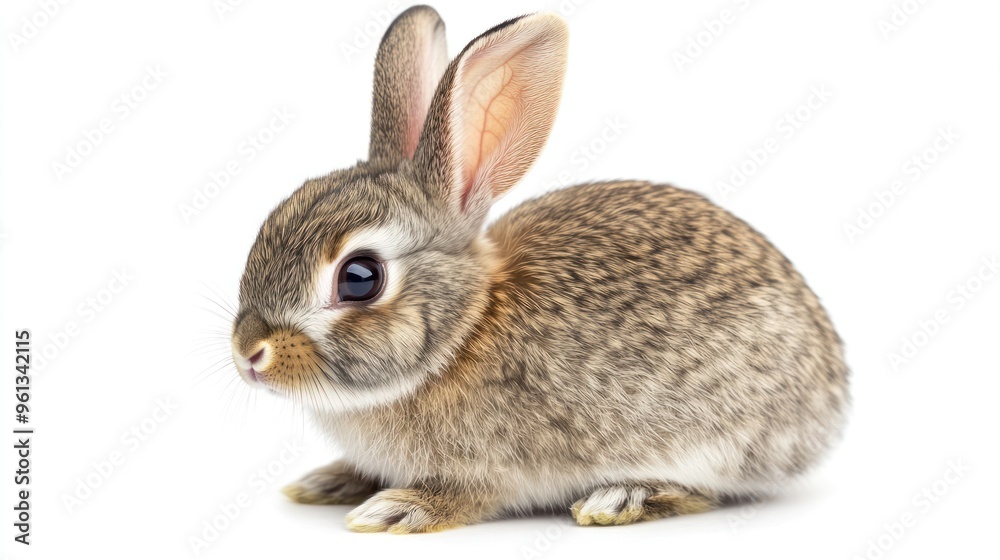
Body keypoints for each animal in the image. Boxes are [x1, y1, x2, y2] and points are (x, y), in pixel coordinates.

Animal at [230, 5, 849, 533]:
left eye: (360, 277)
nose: (248, 354)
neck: (464, 331)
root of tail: (831, 394)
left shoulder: (493, 466)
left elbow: (466, 495)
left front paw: (396, 509)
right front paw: (330, 481)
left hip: (715, 439)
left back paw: (620, 499)